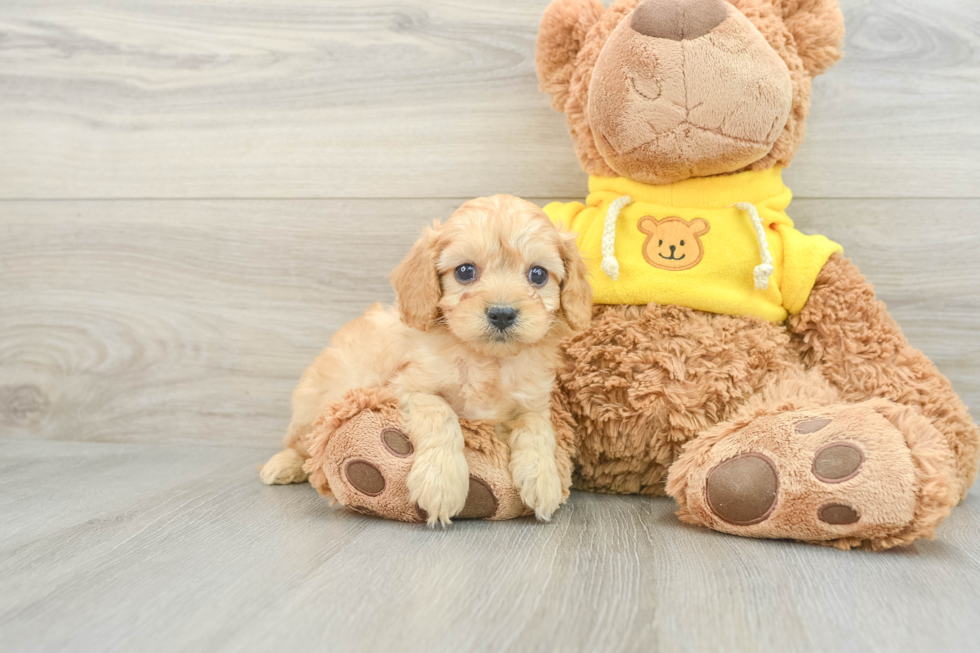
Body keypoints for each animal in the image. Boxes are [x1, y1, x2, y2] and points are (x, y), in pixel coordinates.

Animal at [260, 195, 588, 524]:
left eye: (538, 274)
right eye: (465, 271)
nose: (502, 313)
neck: (487, 360)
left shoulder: (533, 401)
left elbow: (539, 429)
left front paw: (543, 480)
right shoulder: (403, 389)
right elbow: (441, 412)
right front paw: (441, 482)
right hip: (312, 406)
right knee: (303, 445)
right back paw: (282, 466)